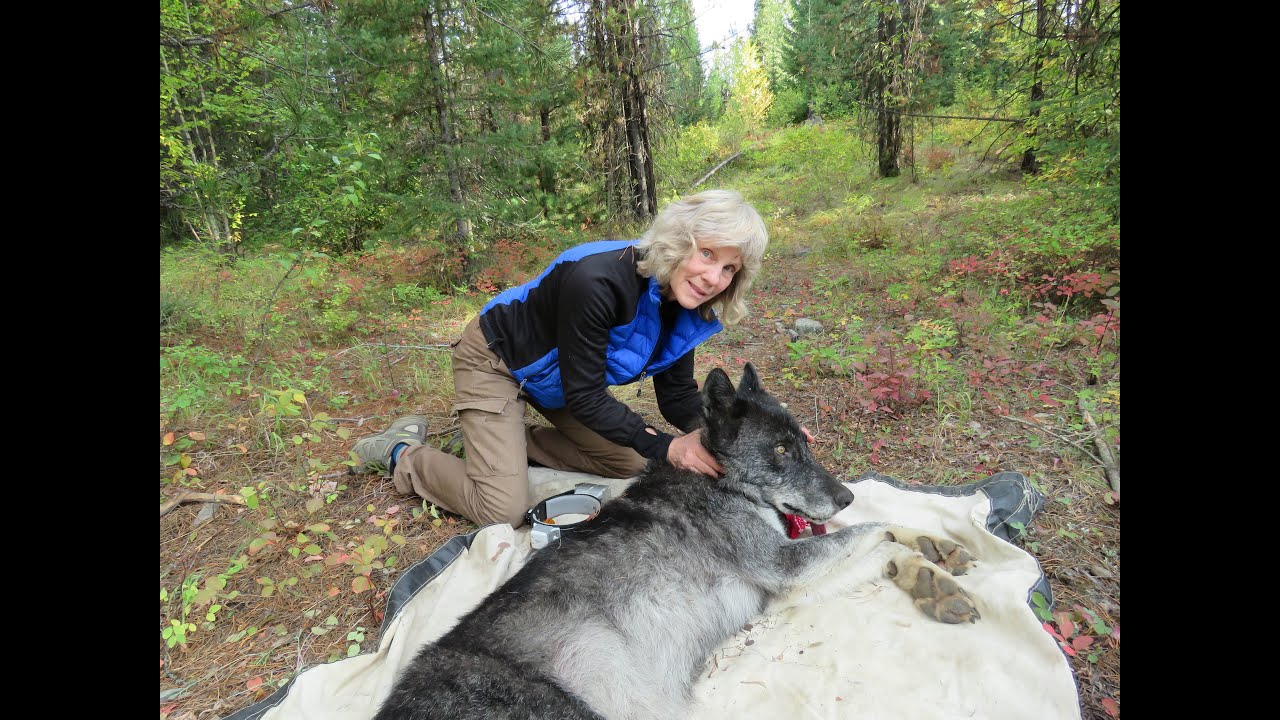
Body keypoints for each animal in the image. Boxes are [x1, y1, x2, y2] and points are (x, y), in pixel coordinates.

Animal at [373, 363, 980, 720]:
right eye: (781, 450)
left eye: (804, 443)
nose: (844, 496)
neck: (722, 481)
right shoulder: (785, 566)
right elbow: (876, 528)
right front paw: (927, 568)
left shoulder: (785, 586)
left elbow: (886, 525)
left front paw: (932, 560)